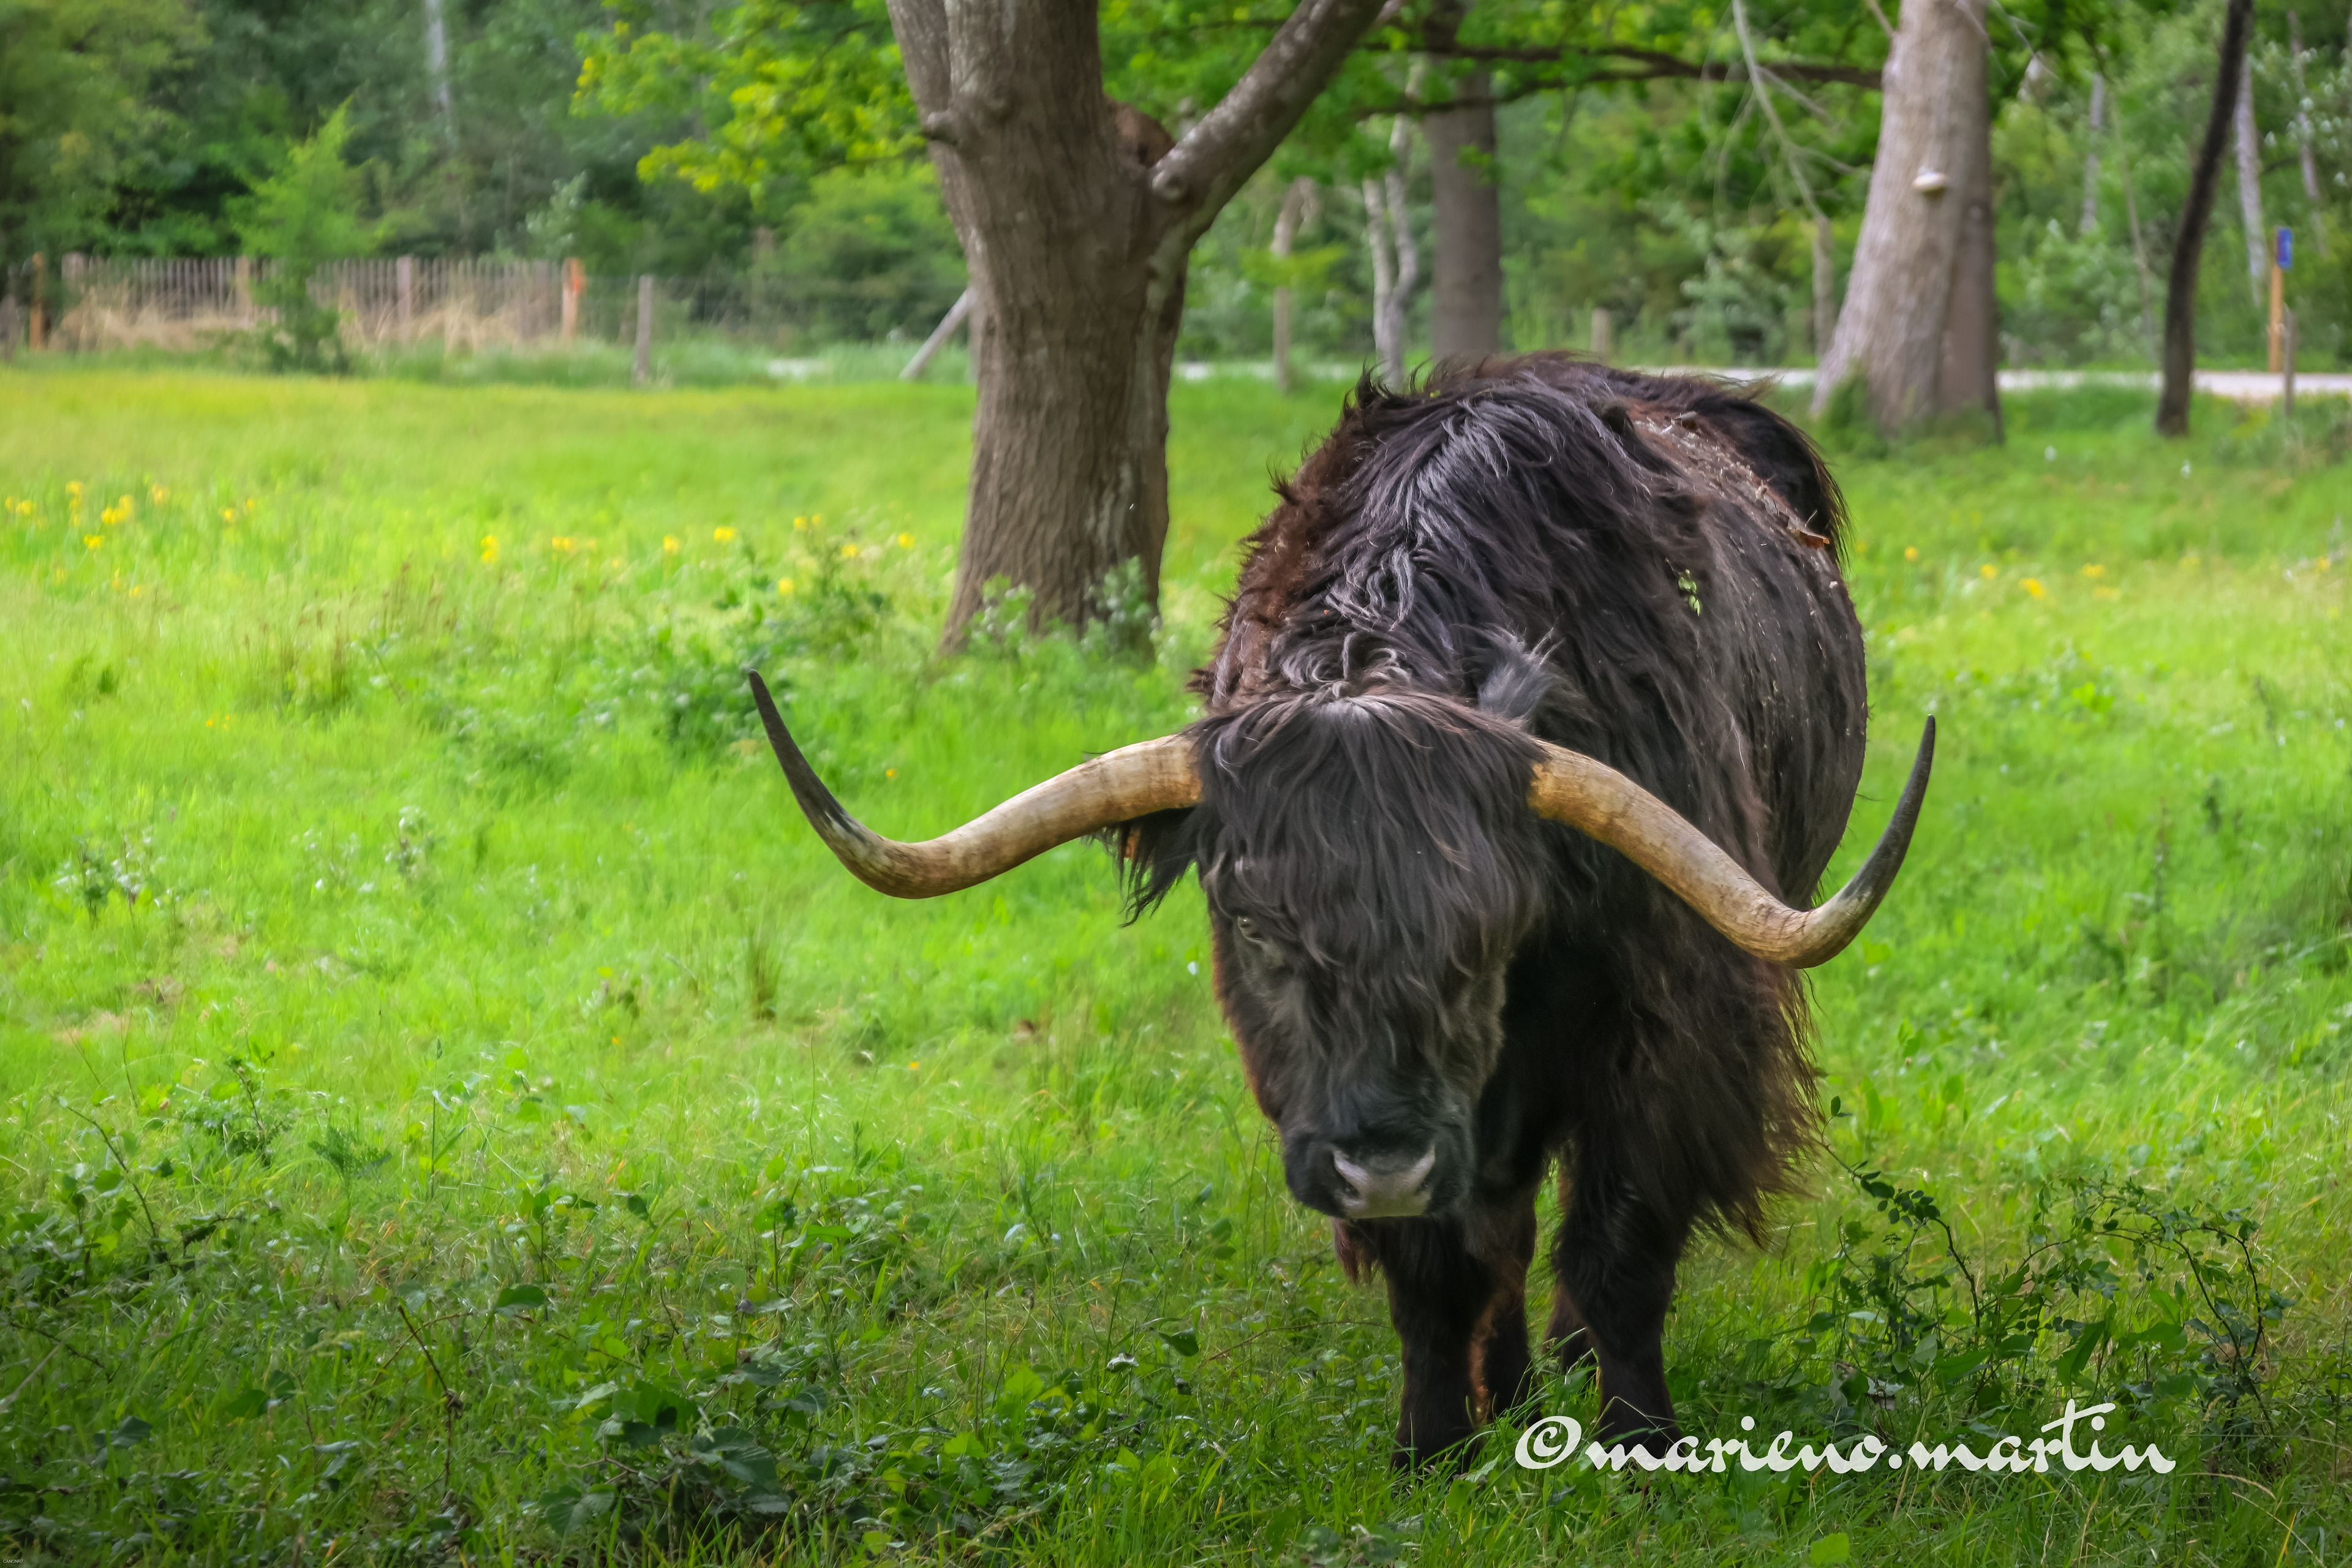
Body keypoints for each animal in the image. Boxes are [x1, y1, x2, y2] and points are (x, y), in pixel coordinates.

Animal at [749, 353, 1931, 1466]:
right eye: (1254, 925)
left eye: (1494, 932)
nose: (1384, 1162)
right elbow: (1442, 1265)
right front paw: (1437, 1445)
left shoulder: (1676, 1025)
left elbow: (1619, 1246)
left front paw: (1641, 1440)